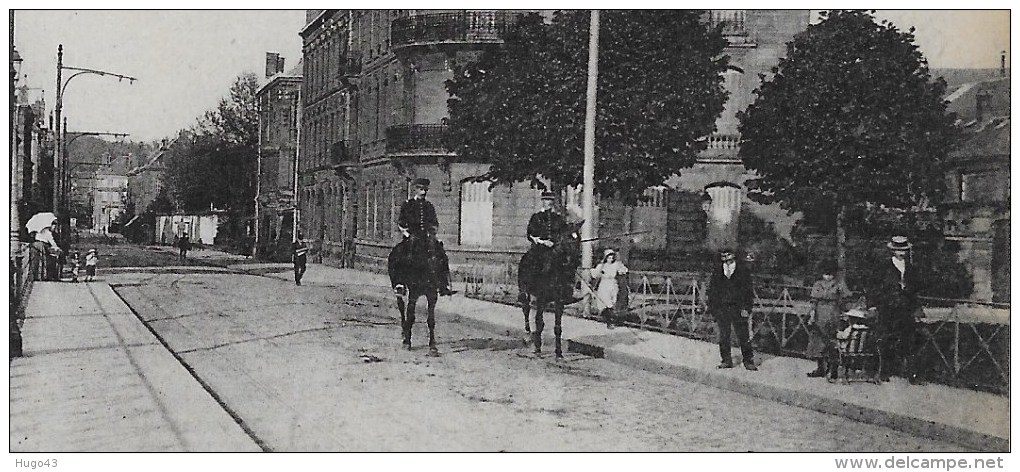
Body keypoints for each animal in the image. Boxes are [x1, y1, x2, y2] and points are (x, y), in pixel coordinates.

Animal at [518, 222, 583, 358]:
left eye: (579, 238)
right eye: (568, 238)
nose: (576, 260)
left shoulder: (559, 301)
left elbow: (557, 327)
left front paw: (559, 353)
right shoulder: (541, 298)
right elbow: (539, 322)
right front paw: (537, 348)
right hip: (524, 292)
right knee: (526, 309)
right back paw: (527, 336)